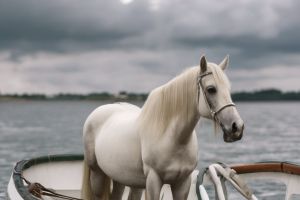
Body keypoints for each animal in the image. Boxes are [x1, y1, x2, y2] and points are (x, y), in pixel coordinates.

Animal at [81, 55, 244, 199]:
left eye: (229, 89)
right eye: (211, 89)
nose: (237, 127)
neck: (173, 138)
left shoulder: (182, 182)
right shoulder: (153, 181)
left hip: (122, 179)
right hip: (97, 174)